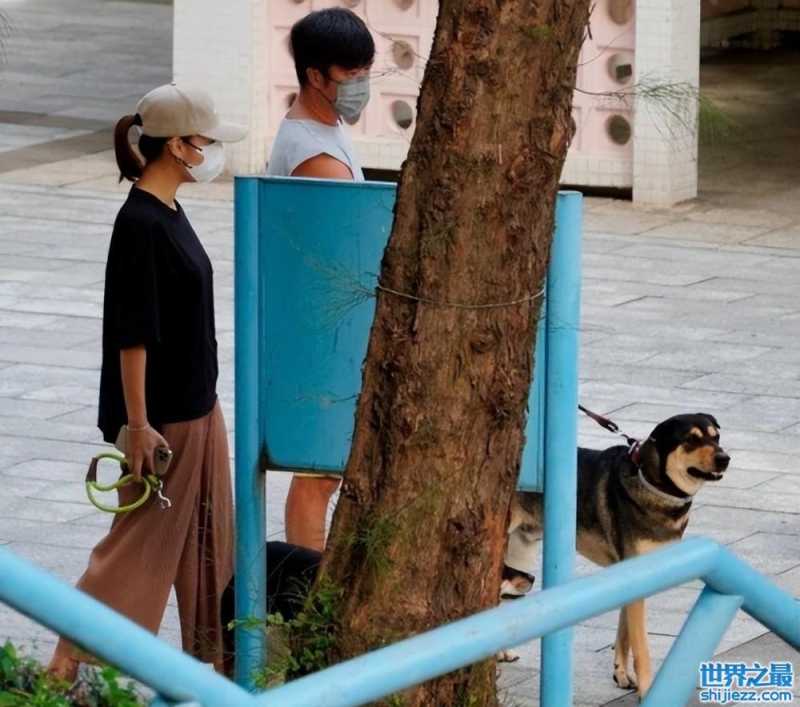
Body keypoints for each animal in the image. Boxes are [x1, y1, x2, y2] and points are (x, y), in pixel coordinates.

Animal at [503, 413, 730, 697]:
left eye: (716, 437)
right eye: (691, 440)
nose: (725, 458)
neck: (653, 484)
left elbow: (624, 633)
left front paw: (621, 674)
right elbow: (641, 646)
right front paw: (646, 690)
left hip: (520, 553)